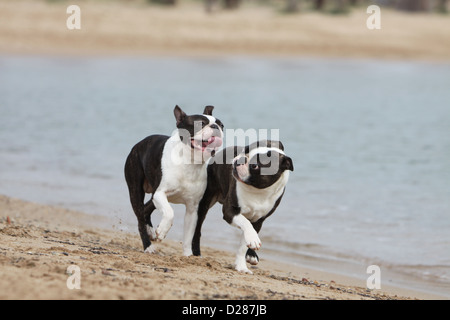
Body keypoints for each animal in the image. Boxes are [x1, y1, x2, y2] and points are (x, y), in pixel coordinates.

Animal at [125, 106, 223, 256]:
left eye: (221, 125)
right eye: (200, 124)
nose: (215, 126)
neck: (189, 162)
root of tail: (137, 145)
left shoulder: (192, 208)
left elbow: (188, 234)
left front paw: (188, 255)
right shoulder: (160, 193)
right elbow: (170, 213)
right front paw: (162, 231)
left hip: (153, 196)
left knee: (145, 209)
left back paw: (150, 231)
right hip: (136, 190)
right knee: (140, 217)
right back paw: (148, 245)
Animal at [192, 139, 294, 272]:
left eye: (255, 166)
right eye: (244, 150)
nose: (239, 160)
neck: (257, 191)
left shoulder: (258, 220)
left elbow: (244, 244)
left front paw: (241, 266)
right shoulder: (229, 211)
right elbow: (245, 223)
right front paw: (252, 241)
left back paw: (251, 254)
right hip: (205, 201)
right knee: (198, 227)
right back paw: (196, 252)